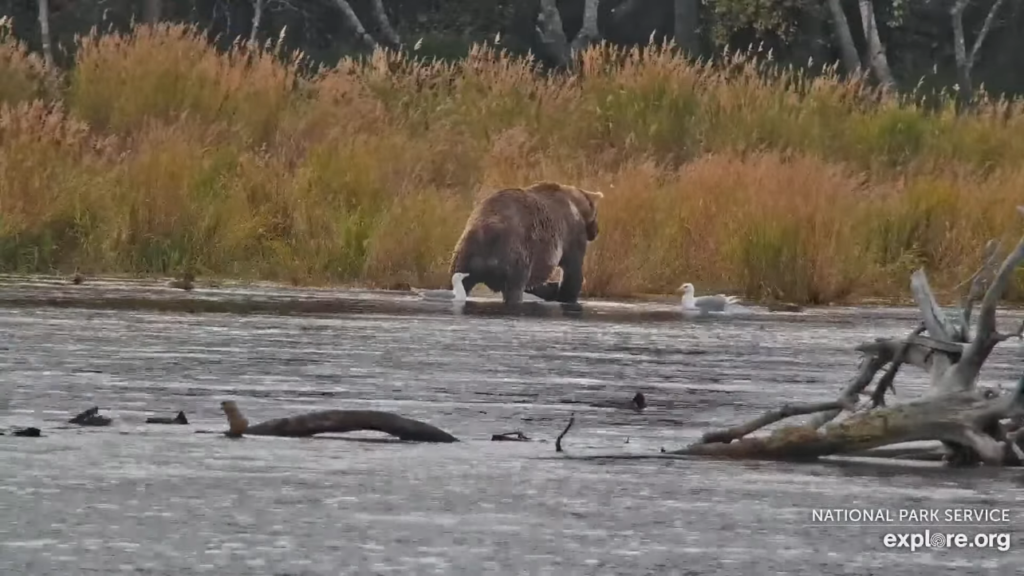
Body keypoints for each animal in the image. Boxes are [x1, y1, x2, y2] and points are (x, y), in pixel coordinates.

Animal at [446, 180, 598, 305]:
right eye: (596, 214)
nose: (596, 231)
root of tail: (485, 234)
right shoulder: (571, 232)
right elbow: (573, 271)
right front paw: (567, 295)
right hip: (514, 254)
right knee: (514, 288)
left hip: (465, 256)